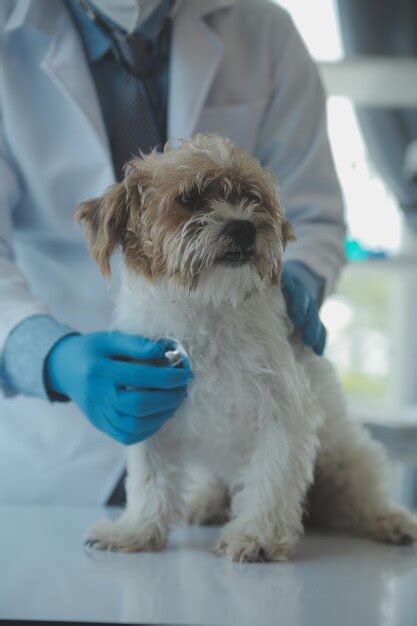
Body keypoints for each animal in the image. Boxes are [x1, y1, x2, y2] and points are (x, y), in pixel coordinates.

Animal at [77, 133, 416, 560]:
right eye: (190, 198)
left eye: (253, 198)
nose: (243, 227)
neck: (207, 306)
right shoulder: (148, 409)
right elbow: (149, 483)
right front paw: (136, 531)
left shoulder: (282, 413)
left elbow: (271, 479)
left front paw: (258, 537)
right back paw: (203, 503)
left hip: (347, 461)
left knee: (365, 497)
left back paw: (393, 521)